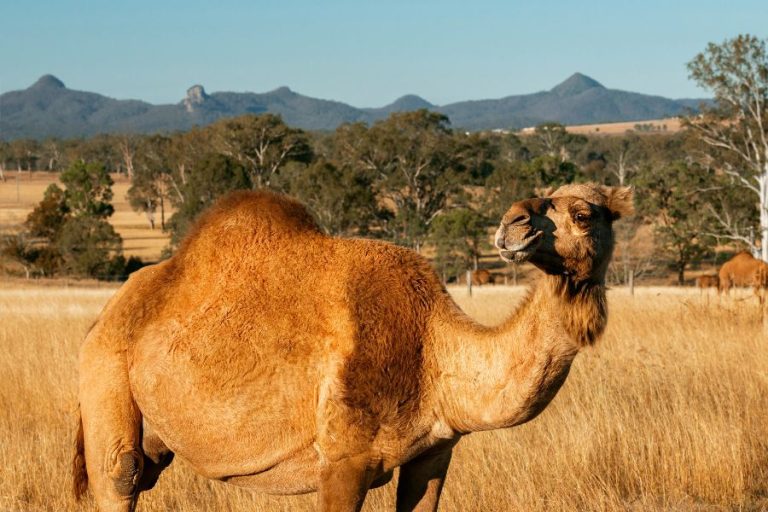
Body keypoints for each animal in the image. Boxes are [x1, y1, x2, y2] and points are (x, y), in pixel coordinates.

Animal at [73, 183, 633, 512]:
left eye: (585, 213)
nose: (512, 223)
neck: (434, 350)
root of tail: (105, 315)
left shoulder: (435, 453)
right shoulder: (343, 460)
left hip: (155, 430)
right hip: (104, 376)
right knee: (120, 473)